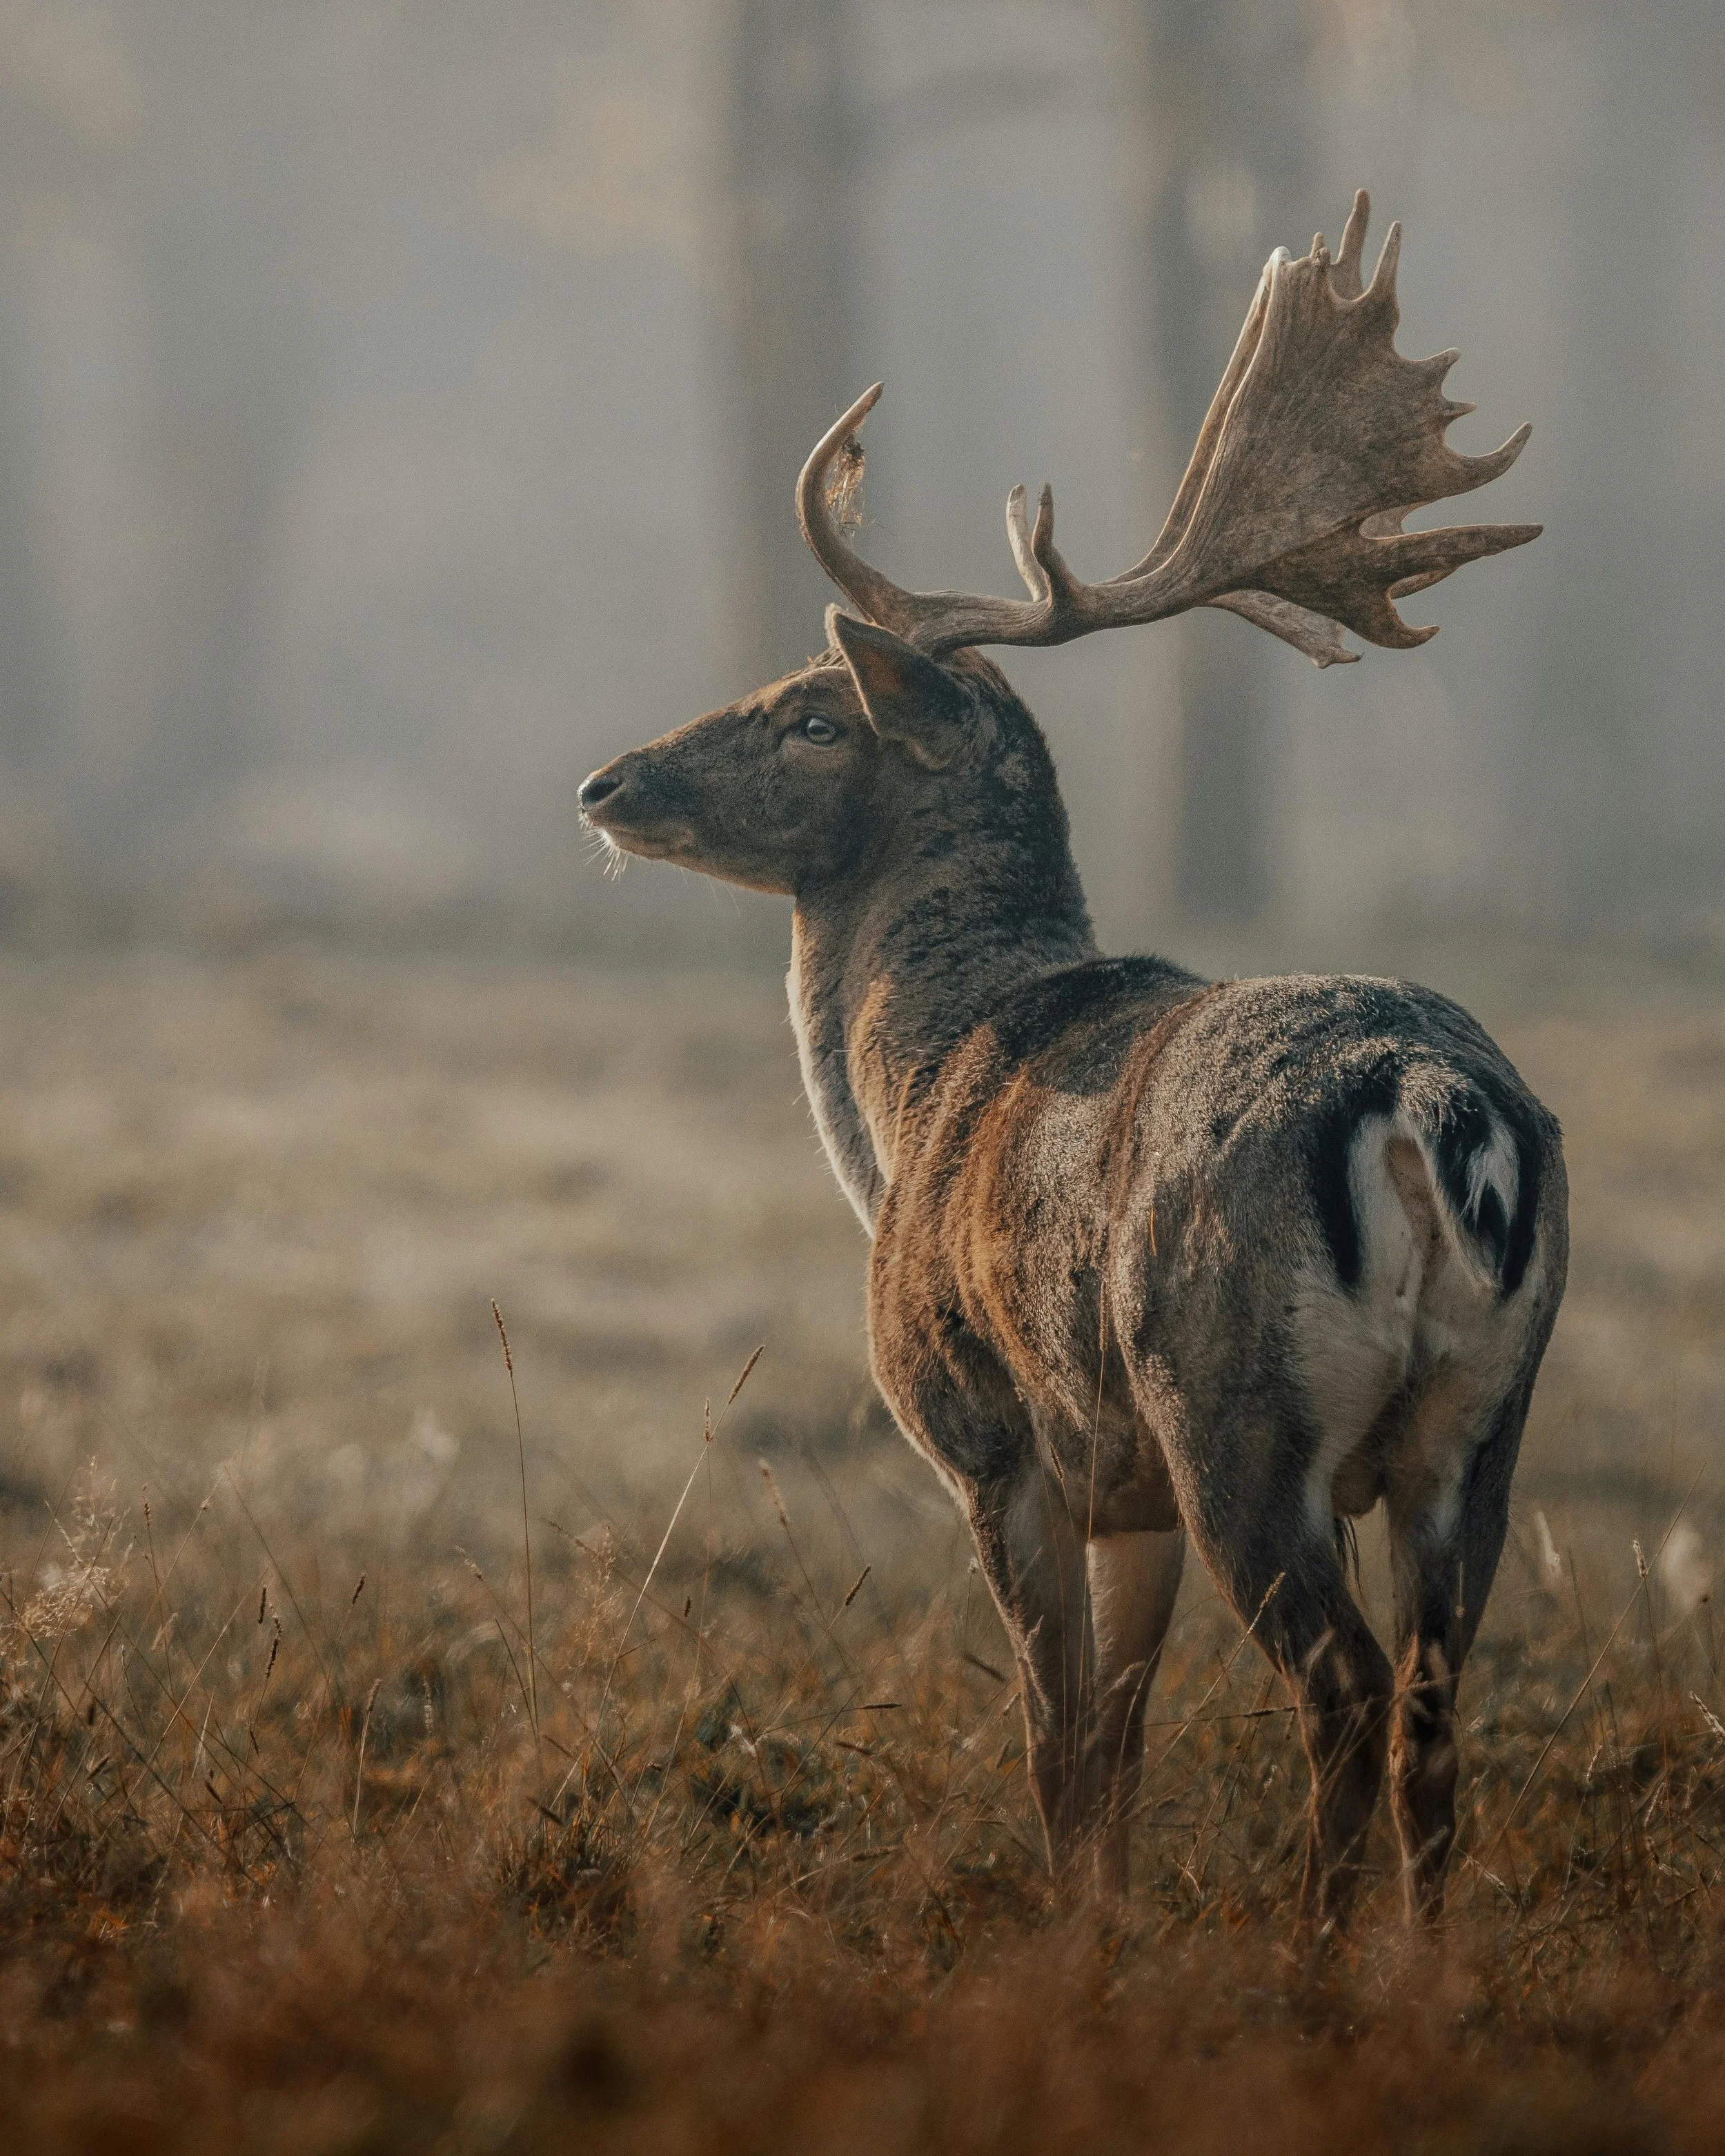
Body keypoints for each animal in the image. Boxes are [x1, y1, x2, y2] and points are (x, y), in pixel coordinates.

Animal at [577, 194, 1567, 1930]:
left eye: (813, 716)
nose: (608, 781)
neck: (913, 1097)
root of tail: (1436, 1107)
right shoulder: (1128, 1493)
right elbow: (1116, 1741)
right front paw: (1100, 1928)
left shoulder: (994, 1435)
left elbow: (1052, 1746)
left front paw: (1065, 1947)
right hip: (1476, 1426)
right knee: (1436, 1711)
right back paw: (1419, 1970)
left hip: (1236, 1407)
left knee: (1342, 1689)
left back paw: (1313, 1966)